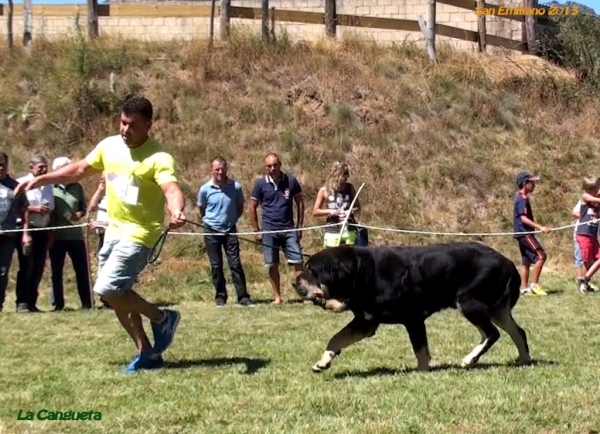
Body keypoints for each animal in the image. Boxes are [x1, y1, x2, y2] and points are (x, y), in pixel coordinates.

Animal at [292, 242, 532, 372]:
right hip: (496, 309)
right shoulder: (365, 322)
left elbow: (420, 349)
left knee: (492, 334)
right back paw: (524, 360)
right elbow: (336, 338)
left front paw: (422, 372)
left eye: (311, 270)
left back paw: (469, 359)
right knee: (518, 332)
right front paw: (323, 362)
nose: (294, 283)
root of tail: (509, 263)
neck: (365, 274)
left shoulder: (413, 318)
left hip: (469, 303)